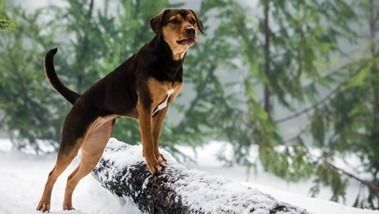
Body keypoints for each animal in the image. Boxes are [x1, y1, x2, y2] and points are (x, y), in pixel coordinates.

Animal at [37, 9, 205, 211]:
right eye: (174, 21)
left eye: (192, 21)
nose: (190, 30)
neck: (168, 60)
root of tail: (78, 99)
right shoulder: (145, 106)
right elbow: (148, 141)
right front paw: (153, 164)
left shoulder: (162, 109)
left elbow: (155, 137)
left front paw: (159, 159)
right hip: (72, 142)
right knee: (52, 174)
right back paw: (44, 204)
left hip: (94, 150)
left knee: (71, 178)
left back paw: (69, 208)